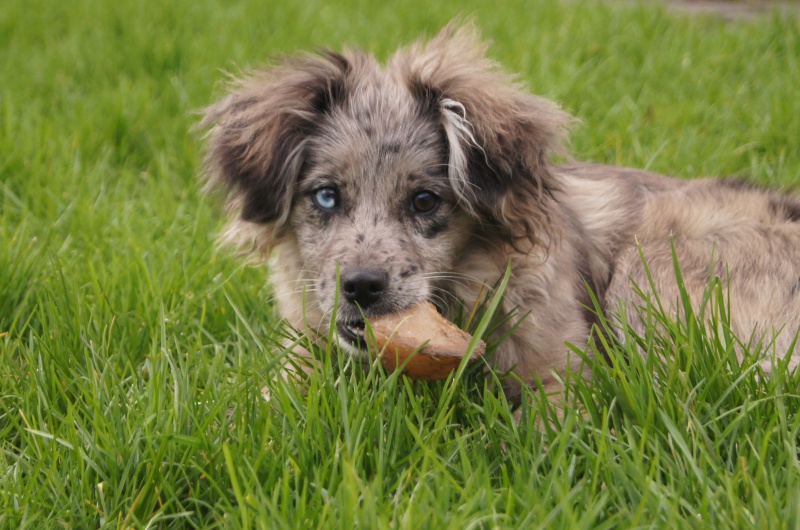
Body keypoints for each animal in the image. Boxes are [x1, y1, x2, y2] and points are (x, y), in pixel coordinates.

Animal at [202, 21, 800, 400]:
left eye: (425, 201)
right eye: (326, 196)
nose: (362, 287)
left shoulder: (565, 373)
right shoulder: (300, 357)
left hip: (649, 269)